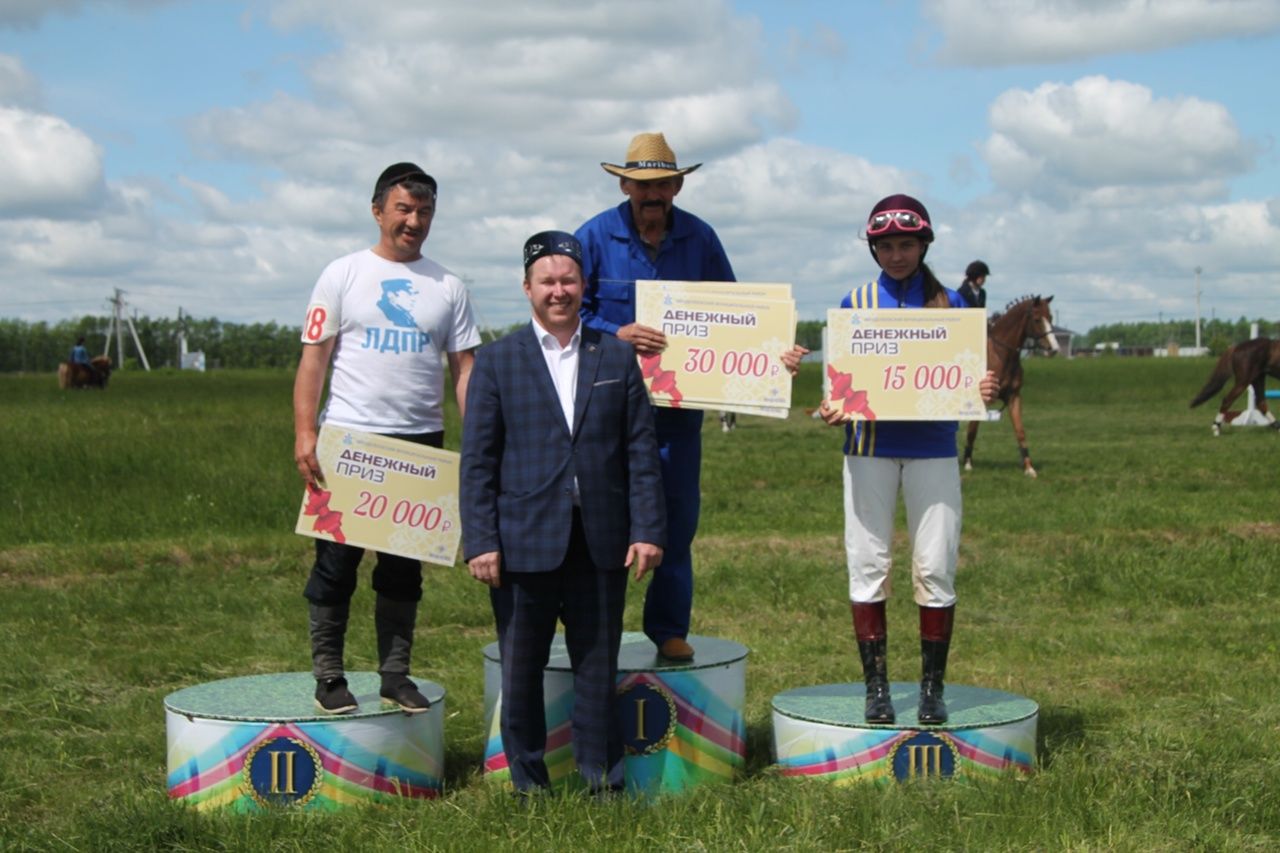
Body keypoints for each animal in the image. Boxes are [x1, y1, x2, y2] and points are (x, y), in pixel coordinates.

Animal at [962, 295, 1059, 473]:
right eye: (1036, 319)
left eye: (1050, 318)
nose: (1054, 349)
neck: (1001, 355)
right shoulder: (982, 398)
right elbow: (973, 429)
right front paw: (967, 463)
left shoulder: (1014, 396)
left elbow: (1020, 431)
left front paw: (1029, 468)